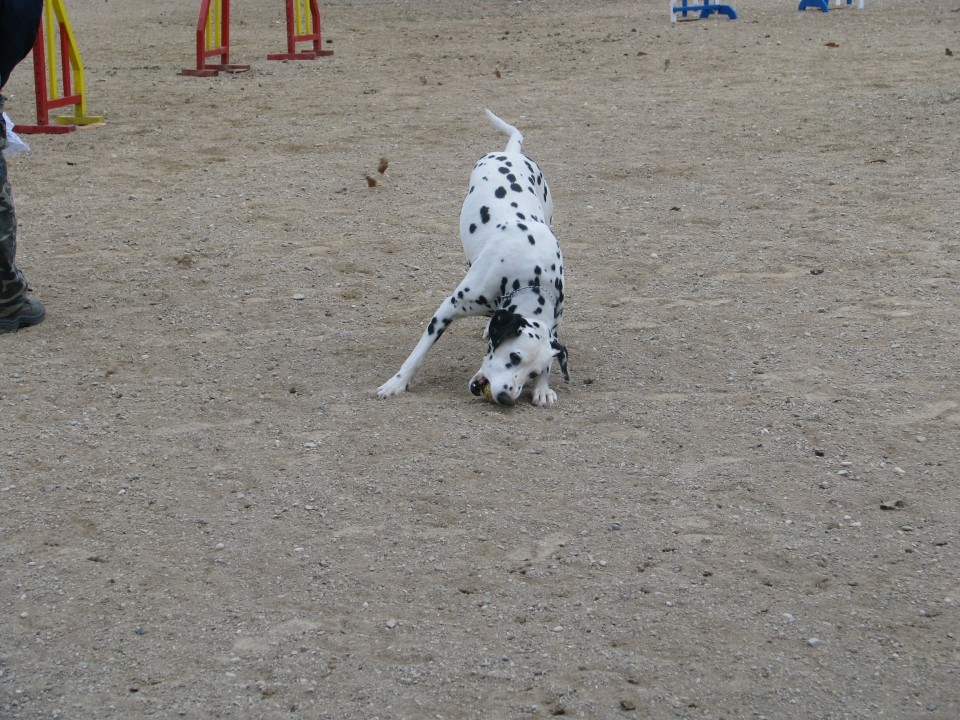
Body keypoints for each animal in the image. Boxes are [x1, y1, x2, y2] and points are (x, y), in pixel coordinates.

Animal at [376, 109, 568, 408]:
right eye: (514, 357)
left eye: (532, 372)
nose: (506, 397)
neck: (530, 275)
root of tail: (510, 153)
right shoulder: (447, 309)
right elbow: (417, 354)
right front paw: (396, 383)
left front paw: (542, 389)